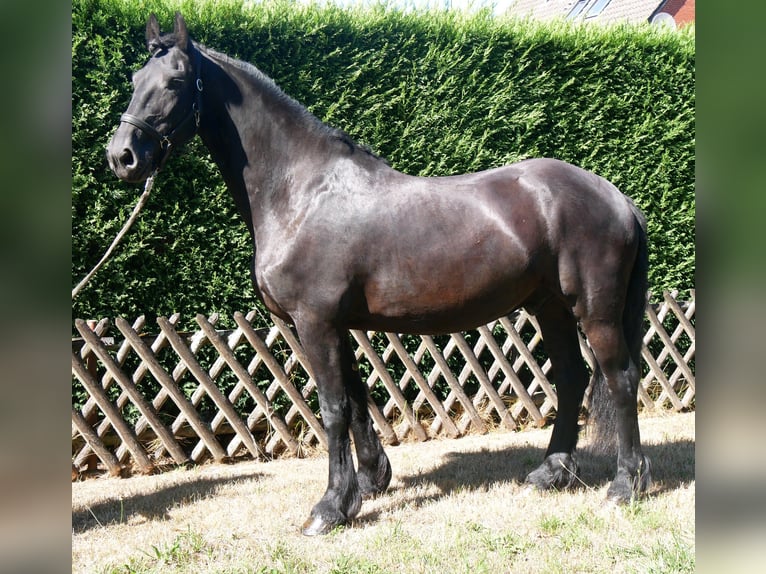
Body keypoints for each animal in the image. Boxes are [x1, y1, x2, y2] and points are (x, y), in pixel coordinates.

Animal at [107, 12, 651, 536]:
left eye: (177, 80)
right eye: (135, 78)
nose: (122, 156)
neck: (301, 191)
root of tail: (615, 196)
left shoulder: (315, 321)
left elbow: (332, 409)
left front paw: (329, 508)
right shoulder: (336, 324)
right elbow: (355, 397)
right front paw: (369, 482)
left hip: (595, 311)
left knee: (621, 378)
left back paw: (626, 486)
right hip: (550, 306)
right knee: (572, 378)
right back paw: (552, 472)